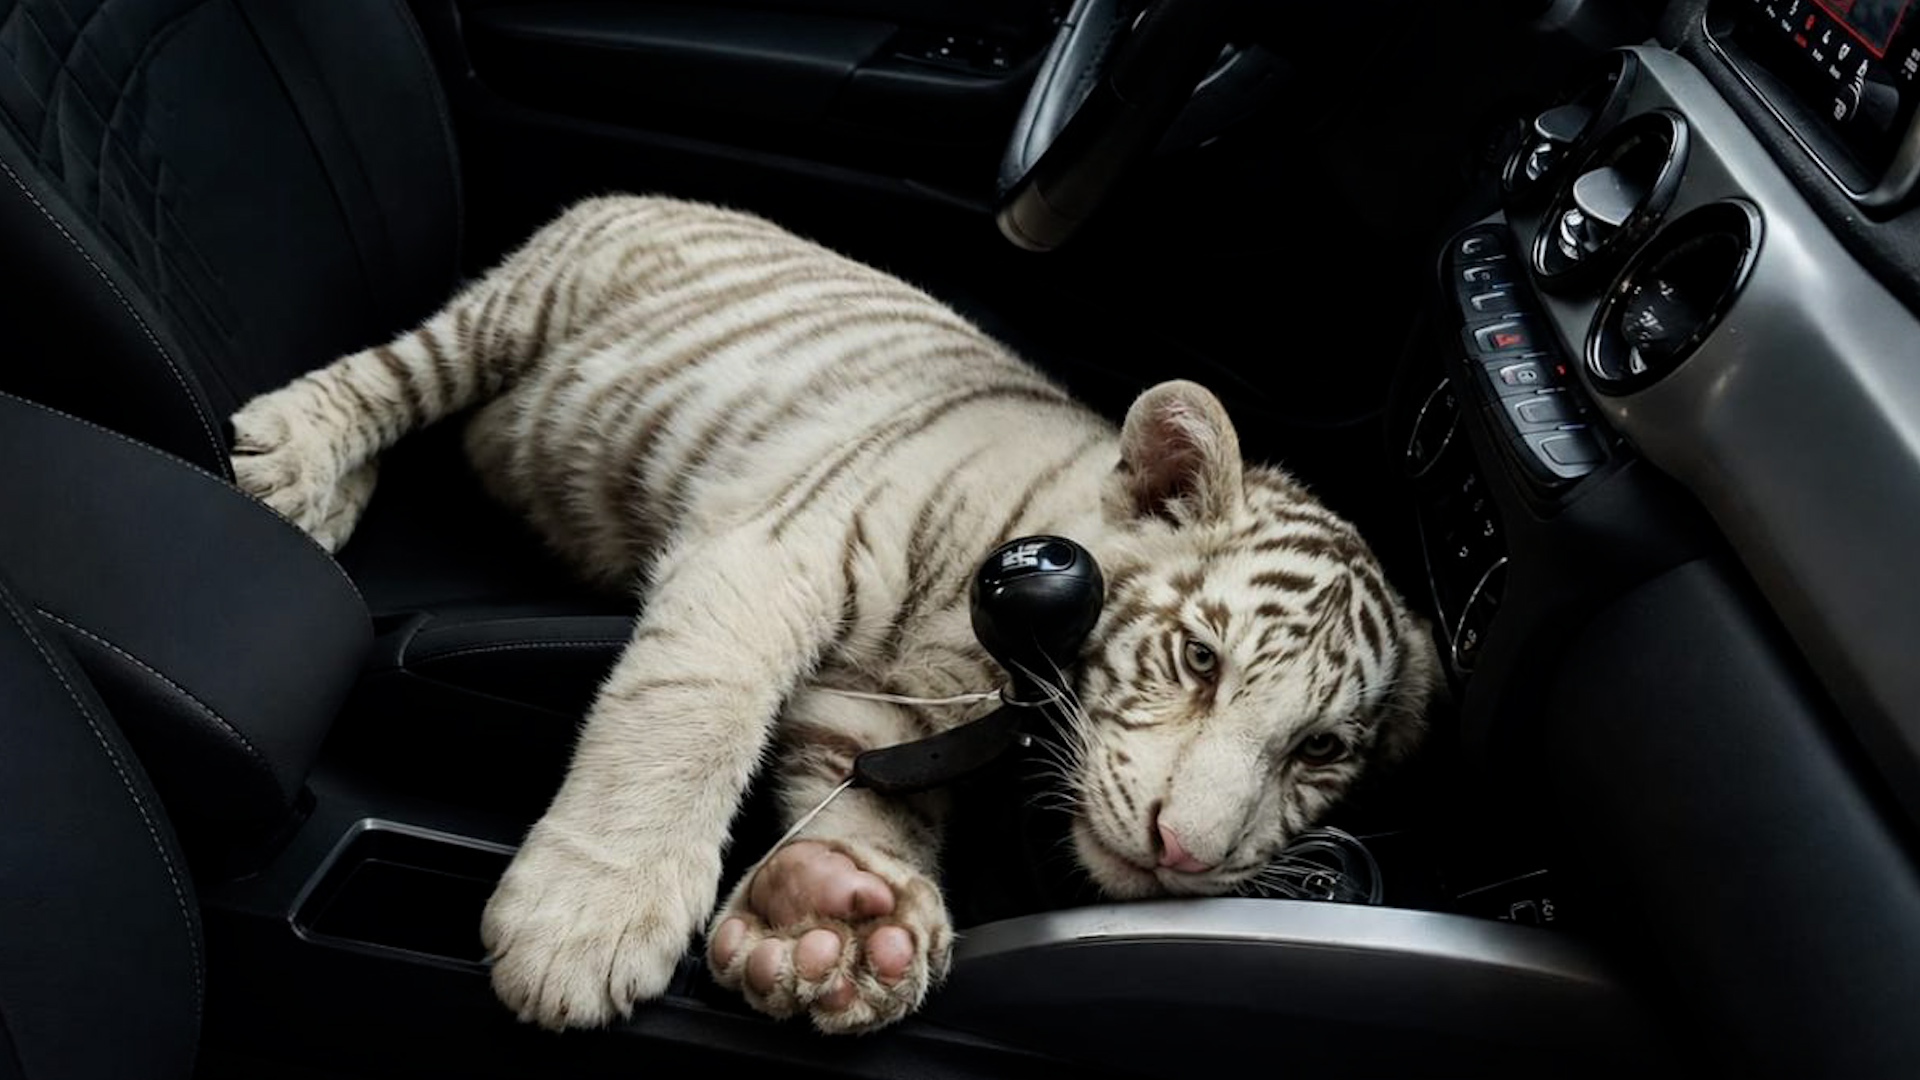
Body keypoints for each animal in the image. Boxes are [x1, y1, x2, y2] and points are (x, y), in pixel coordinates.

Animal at [227, 194, 1439, 1035]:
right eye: (1198, 658)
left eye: (1320, 750)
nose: (1184, 854)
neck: (988, 661)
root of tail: (662, 192)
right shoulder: (768, 553)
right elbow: (685, 719)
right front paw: (583, 924)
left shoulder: (883, 709)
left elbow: (866, 805)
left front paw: (838, 922)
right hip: (517, 310)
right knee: (395, 373)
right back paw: (289, 460)